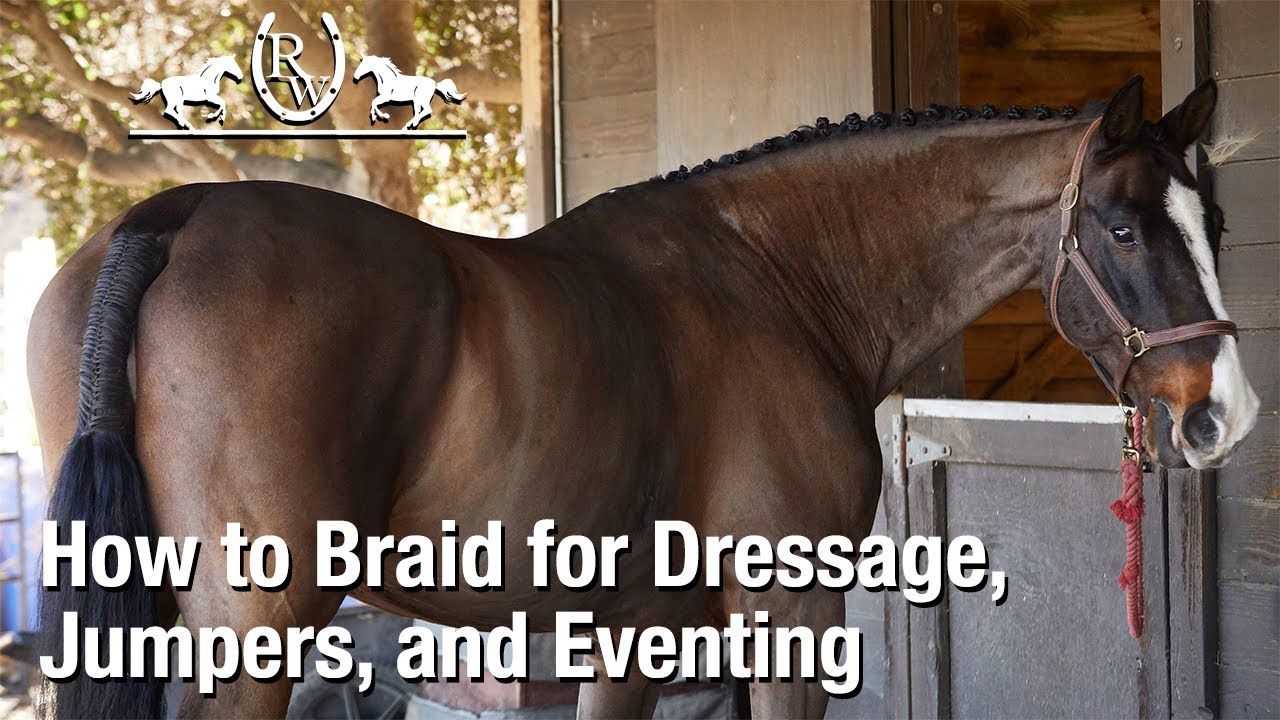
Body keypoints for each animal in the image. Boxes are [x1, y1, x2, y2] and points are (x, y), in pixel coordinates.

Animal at [29, 76, 1258, 719]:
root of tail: (174, 215)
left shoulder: (629, 636)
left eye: (1213, 223)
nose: (1224, 414)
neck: (777, 278)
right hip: (257, 624)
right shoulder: (789, 613)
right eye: (1121, 229)